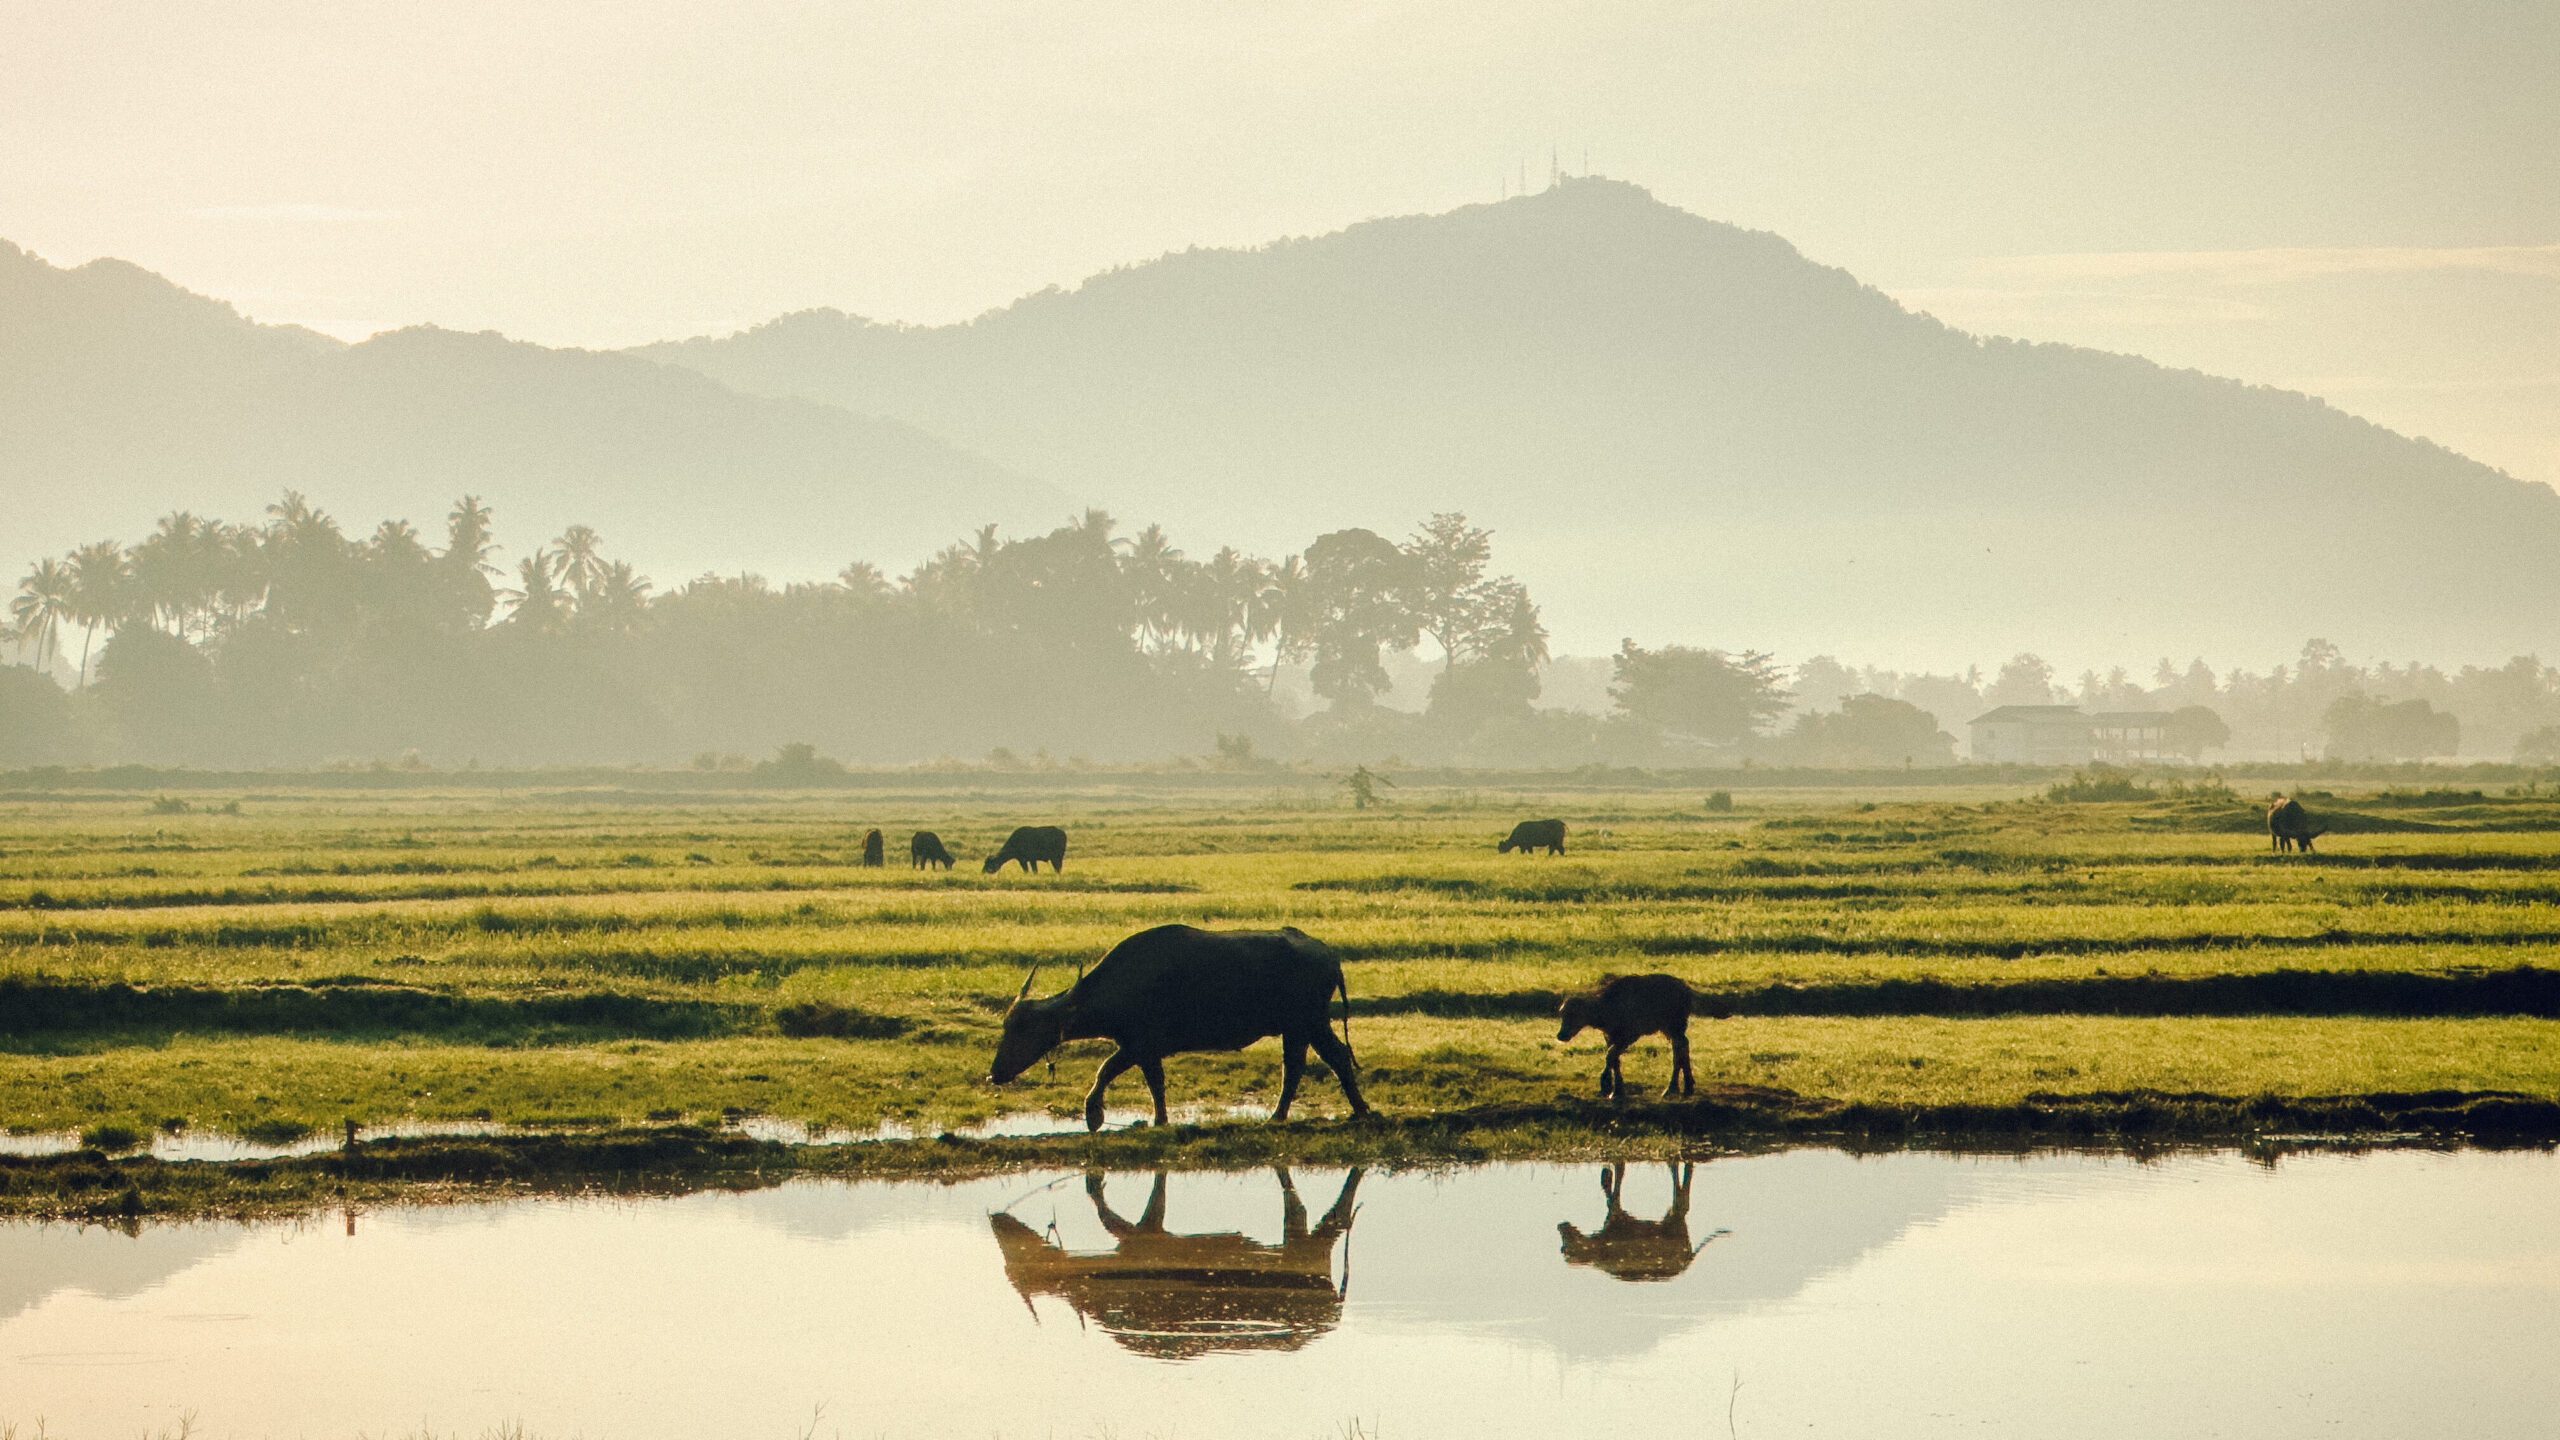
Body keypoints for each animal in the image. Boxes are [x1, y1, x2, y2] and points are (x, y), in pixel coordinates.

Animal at [988, 917, 1372, 1132]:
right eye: (1007, 1026)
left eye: (1024, 1029)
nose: (994, 1074)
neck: (1124, 982)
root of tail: (1328, 955)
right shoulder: (1139, 1048)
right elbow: (1138, 1078)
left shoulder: (1141, 1045)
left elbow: (1115, 1072)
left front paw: (1098, 1114)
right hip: (1306, 1026)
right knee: (1321, 1061)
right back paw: (1349, 1111)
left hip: (1306, 1022)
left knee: (1310, 1063)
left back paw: (1297, 1115)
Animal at [988, 1158, 1372, 1352]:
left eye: (1016, 1268)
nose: (995, 1219)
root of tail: (1329, 1316)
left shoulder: (1143, 1237)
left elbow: (1119, 1212)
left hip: (1307, 1246)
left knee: (1324, 1219)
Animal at [1546, 1153, 1730, 1276]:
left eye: (1567, 1248)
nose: (1561, 1226)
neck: (1597, 1249)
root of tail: (1688, 1260)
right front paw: (1606, 1176)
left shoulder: (1617, 1220)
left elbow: (1619, 1177)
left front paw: (1609, 1177)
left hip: (1675, 1224)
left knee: (1681, 1200)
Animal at [1556, 968, 1720, 1091]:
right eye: (1562, 1014)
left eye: (1574, 1015)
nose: (1561, 1035)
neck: (1607, 1006)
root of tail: (1686, 990)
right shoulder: (1609, 1036)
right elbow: (1614, 1059)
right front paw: (1617, 1089)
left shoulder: (1630, 1036)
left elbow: (1610, 1055)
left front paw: (1605, 1084)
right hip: (1670, 1029)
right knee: (1681, 1046)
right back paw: (1686, 1086)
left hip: (1675, 1026)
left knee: (1680, 1047)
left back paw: (1673, 1088)